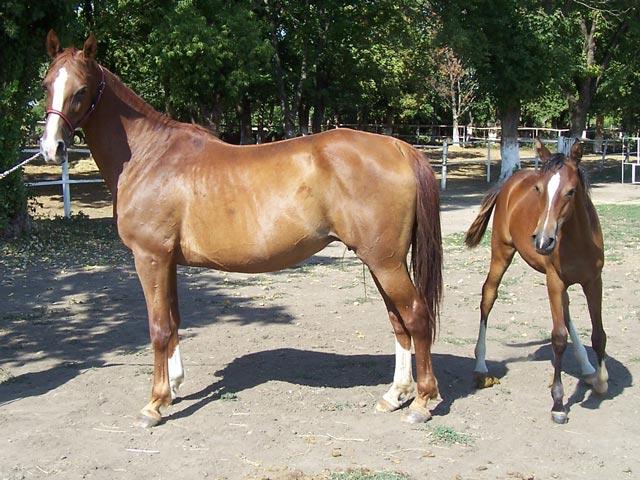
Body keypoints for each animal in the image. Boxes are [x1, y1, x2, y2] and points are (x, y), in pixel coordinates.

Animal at [39, 31, 443, 427]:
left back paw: (423, 401)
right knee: (399, 322)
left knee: (416, 316)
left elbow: (158, 327)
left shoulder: (149, 258)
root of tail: (400, 148)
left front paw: (154, 403)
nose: (50, 148)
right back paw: (395, 396)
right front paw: (174, 387)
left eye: (81, 90)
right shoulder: (167, 262)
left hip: (385, 262)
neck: (149, 157)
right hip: (381, 260)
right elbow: (173, 320)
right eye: (46, 85)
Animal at [464, 138, 608, 423]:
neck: (578, 240)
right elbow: (558, 337)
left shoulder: (594, 281)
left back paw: (587, 368)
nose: (543, 241)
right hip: (502, 251)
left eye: (571, 191)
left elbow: (598, 334)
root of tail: (510, 181)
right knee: (488, 294)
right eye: (539, 189)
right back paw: (481, 366)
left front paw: (600, 380)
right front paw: (558, 403)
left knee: (567, 312)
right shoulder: (554, 280)